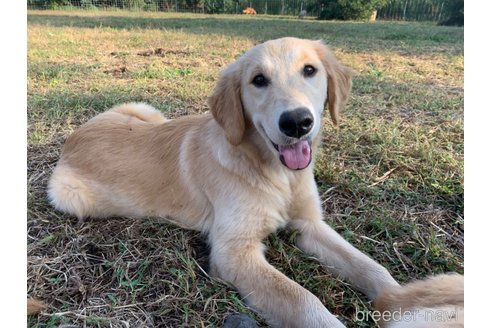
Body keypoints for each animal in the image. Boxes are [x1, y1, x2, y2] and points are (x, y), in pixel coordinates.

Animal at [47, 37, 400, 326]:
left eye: (310, 70)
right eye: (259, 80)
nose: (297, 122)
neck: (276, 174)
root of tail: (72, 138)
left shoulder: (309, 224)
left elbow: (372, 267)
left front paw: (403, 304)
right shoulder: (234, 252)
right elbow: (303, 301)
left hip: (146, 111)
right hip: (69, 196)